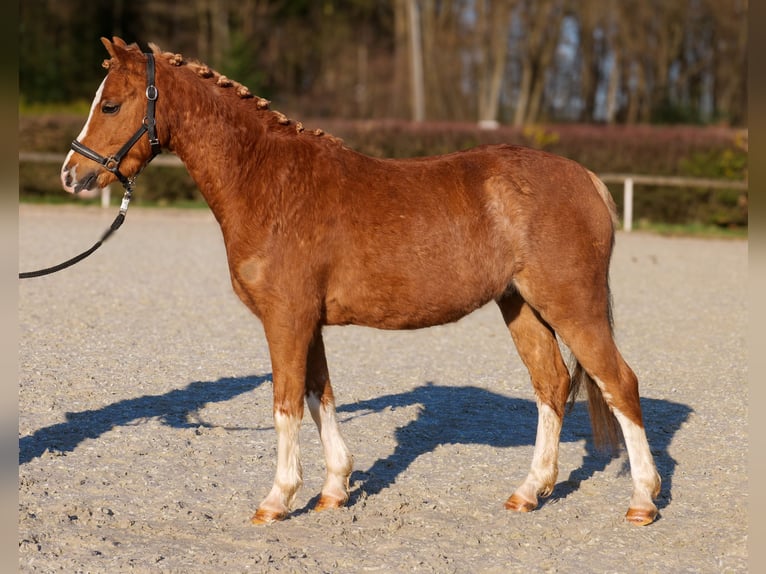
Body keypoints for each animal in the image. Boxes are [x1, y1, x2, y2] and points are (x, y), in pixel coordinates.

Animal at [60, 37, 661, 526]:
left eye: (110, 104)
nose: (72, 174)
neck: (269, 182)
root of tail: (584, 177)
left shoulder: (286, 319)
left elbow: (285, 403)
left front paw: (278, 499)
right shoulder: (308, 322)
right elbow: (319, 394)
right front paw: (334, 489)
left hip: (572, 307)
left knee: (619, 384)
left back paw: (642, 501)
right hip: (522, 307)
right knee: (552, 386)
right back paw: (529, 492)